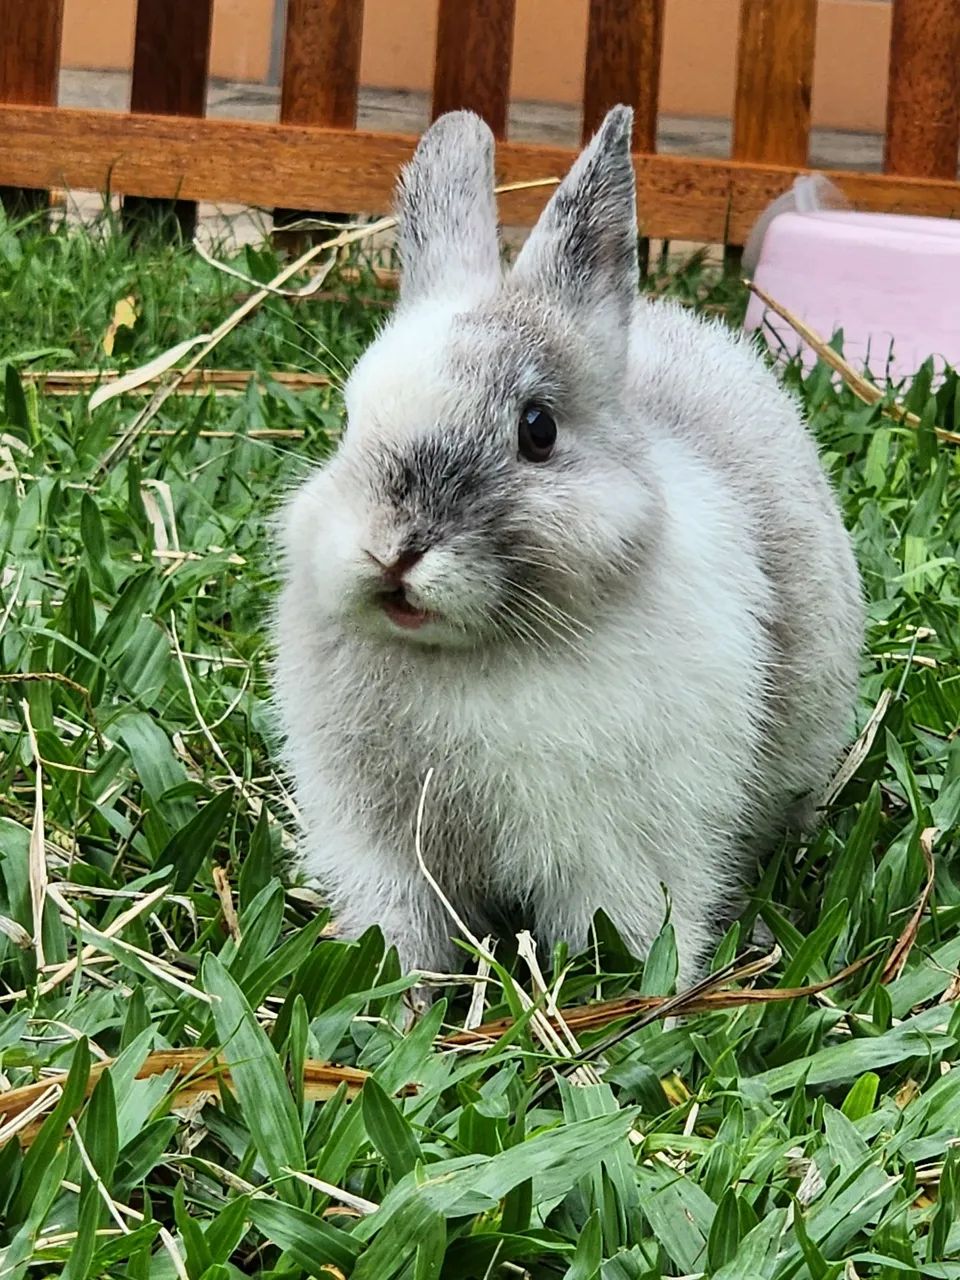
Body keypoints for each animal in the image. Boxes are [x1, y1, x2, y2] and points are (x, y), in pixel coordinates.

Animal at [272, 105, 863, 985]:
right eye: (348, 420)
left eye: (538, 429)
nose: (392, 554)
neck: (471, 660)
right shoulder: (382, 849)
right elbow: (403, 930)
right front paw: (396, 993)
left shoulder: (623, 854)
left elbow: (627, 932)